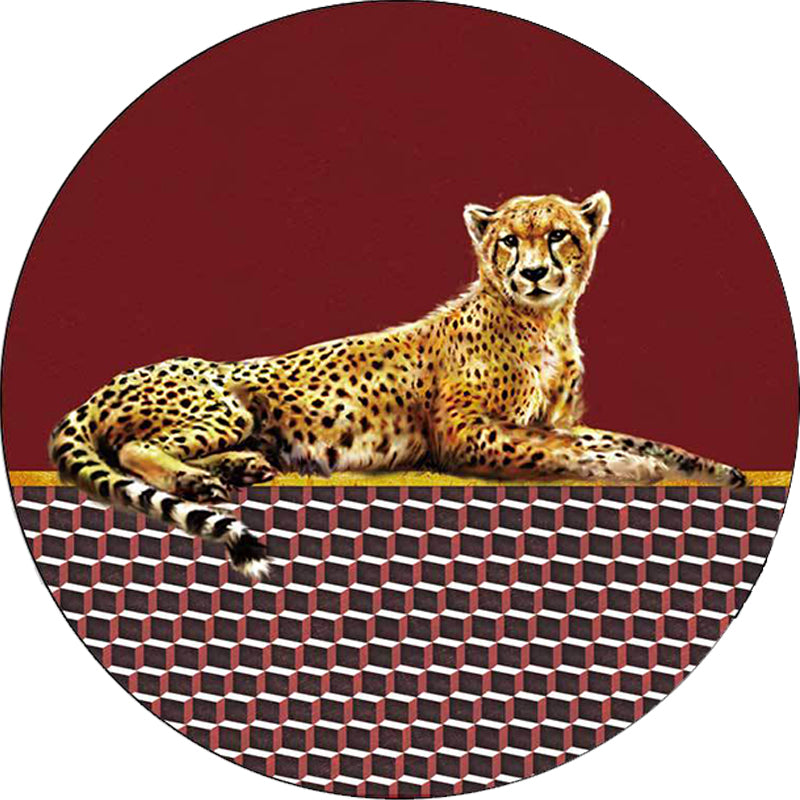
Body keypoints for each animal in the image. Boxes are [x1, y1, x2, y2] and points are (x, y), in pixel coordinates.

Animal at [49, 190, 745, 580]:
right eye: (508, 241)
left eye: (558, 235)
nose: (534, 273)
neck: (543, 322)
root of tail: (110, 381)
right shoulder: (468, 435)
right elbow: (564, 452)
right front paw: (635, 471)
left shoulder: (556, 419)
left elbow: (621, 439)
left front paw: (711, 470)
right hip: (223, 404)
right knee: (133, 447)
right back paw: (197, 481)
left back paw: (239, 468)